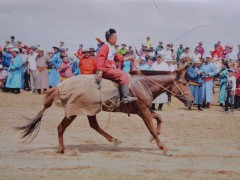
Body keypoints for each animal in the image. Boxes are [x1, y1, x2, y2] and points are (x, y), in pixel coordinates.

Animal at [16, 67, 193, 156]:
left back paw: (113, 140)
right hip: (74, 111)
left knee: (93, 125)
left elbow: (159, 118)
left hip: (89, 110)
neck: (144, 85)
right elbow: (152, 127)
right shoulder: (143, 111)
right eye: (184, 83)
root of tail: (60, 86)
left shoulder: (145, 109)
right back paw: (64, 149)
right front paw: (164, 148)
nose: (191, 101)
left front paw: (154, 138)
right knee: (61, 127)